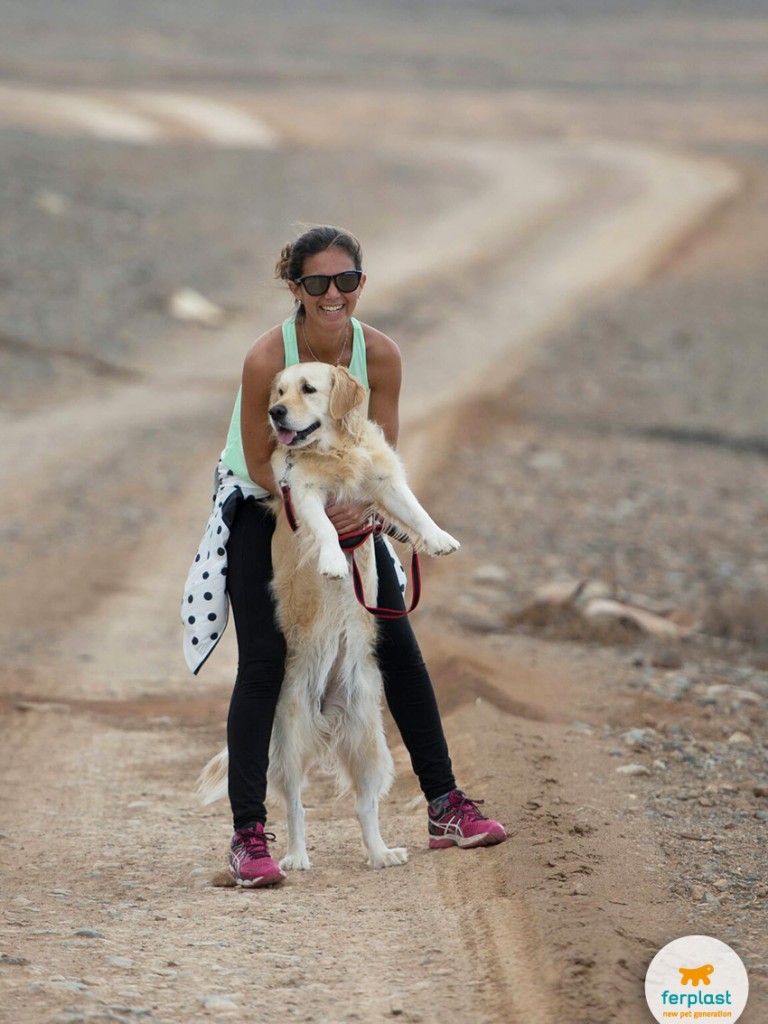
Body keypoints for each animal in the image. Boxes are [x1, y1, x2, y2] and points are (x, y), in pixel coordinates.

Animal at [201, 364, 460, 868]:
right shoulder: (302, 493)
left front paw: (440, 539)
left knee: (365, 805)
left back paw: (381, 853)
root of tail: (327, 708)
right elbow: (322, 526)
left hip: (369, 742)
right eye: (279, 390)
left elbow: (415, 508)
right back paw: (293, 859)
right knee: (296, 806)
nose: (275, 412)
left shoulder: (383, 481)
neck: (334, 448)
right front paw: (334, 563)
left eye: (308, 389)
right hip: (289, 742)